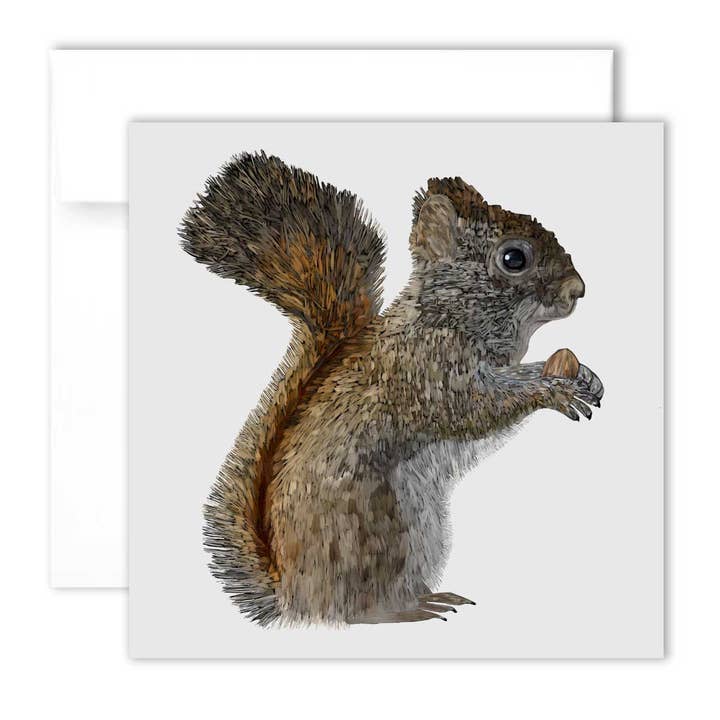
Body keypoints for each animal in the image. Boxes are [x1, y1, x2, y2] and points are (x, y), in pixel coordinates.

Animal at [180, 152, 604, 627]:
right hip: (377, 530)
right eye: (514, 258)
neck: (444, 316)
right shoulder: (425, 373)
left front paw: (581, 376)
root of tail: (293, 594)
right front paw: (554, 391)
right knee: (357, 611)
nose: (579, 290)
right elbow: (477, 408)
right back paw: (411, 608)